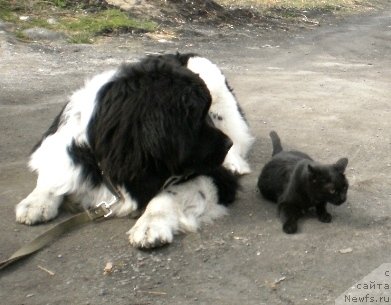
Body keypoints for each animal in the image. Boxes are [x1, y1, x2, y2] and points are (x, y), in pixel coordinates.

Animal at [15, 52, 254, 247]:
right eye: (196, 117)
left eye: (205, 112)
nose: (226, 144)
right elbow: (51, 175)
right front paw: (35, 202)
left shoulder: (216, 176)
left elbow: (168, 194)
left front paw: (150, 225)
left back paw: (234, 162)